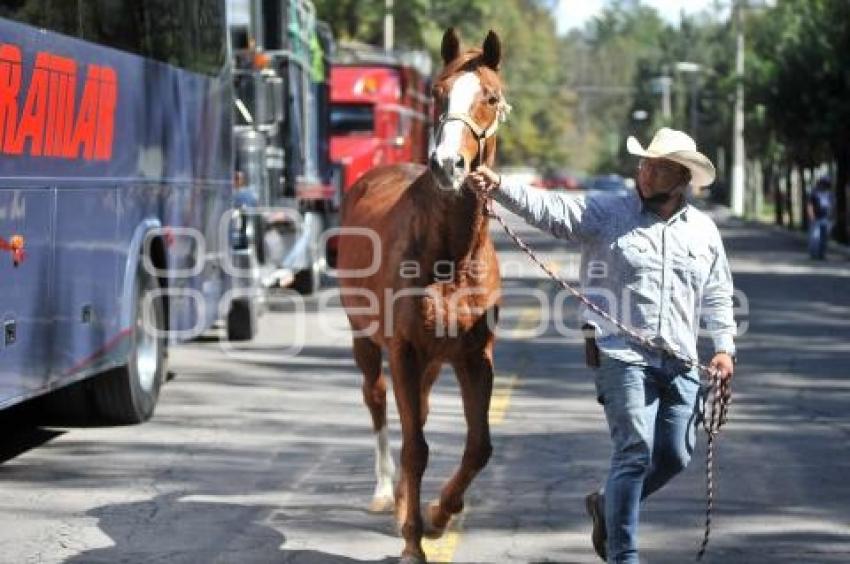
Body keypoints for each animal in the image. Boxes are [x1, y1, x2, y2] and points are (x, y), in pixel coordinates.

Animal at [336, 28, 510, 564]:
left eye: (490, 97)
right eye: (436, 93)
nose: (448, 165)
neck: (452, 252)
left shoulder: (474, 355)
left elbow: (478, 447)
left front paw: (437, 516)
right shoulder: (405, 350)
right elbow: (416, 447)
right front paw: (414, 541)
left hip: (433, 360)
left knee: (421, 410)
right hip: (367, 340)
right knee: (377, 400)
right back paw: (383, 494)